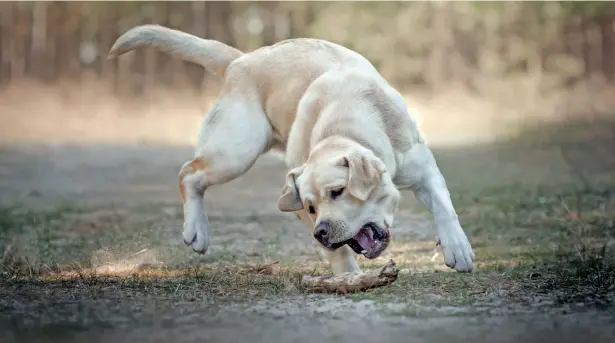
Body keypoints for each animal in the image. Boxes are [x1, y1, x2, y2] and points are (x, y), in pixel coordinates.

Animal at [109, 24, 476, 276]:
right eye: (311, 207)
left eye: (339, 191)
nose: (321, 232)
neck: (345, 125)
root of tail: (242, 59)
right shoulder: (297, 201)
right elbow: (339, 254)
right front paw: (349, 277)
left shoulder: (423, 168)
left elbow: (445, 208)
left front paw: (457, 248)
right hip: (236, 151)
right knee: (189, 172)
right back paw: (196, 231)